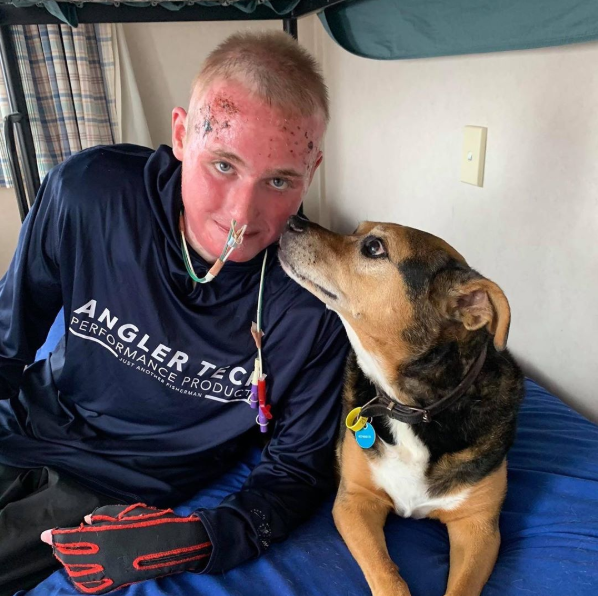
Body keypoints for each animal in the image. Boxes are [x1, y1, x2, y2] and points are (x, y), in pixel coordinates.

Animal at [278, 217, 524, 596]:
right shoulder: (355, 500)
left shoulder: (479, 527)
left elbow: (462, 588)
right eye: (357, 229)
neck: (415, 409)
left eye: (373, 247)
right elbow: (388, 575)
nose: (294, 220)